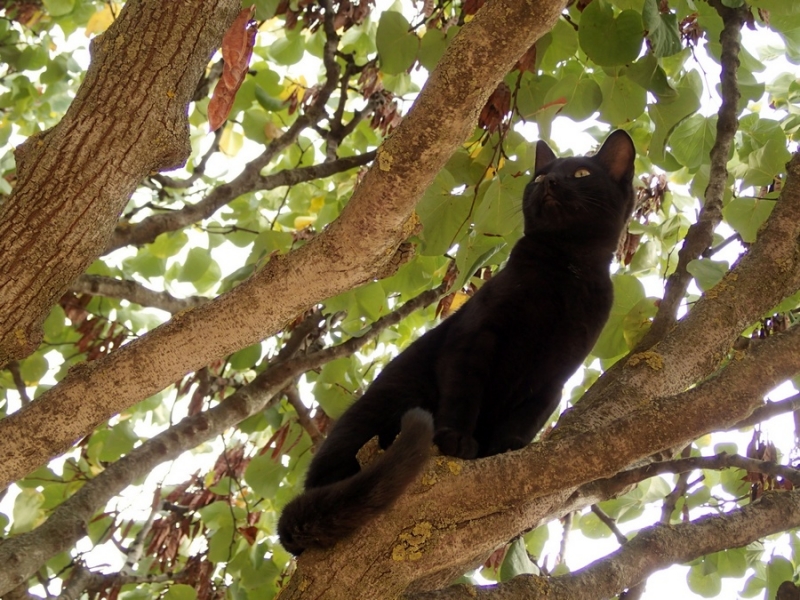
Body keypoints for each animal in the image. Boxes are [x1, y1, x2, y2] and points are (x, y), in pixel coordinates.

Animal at [278, 129, 636, 556]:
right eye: (538, 176)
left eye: (581, 173)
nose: (549, 181)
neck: (568, 269)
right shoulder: (475, 338)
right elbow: (465, 393)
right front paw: (456, 438)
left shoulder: (555, 377)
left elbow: (527, 416)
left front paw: (507, 447)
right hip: (394, 396)